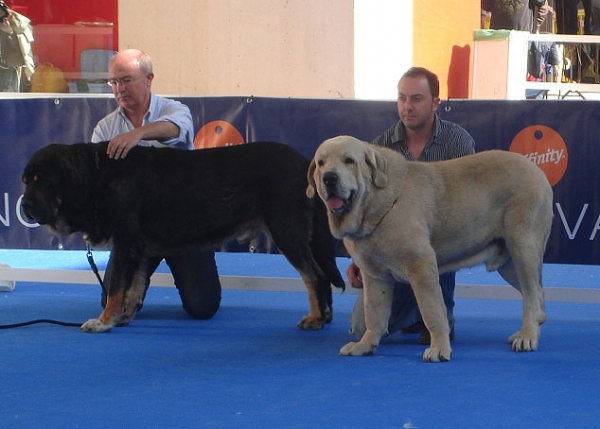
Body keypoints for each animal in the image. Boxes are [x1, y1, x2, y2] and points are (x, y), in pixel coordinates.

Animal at [23, 140, 344, 332]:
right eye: (26, 181)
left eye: (41, 181)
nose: (24, 205)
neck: (98, 176)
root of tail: (305, 162)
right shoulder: (139, 248)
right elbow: (134, 286)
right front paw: (124, 316)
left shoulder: (126, 243)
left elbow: (115, 289)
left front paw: (104, 322)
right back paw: (325, 316)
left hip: (286, 231)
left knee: (314, 276)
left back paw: (316, 318)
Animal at [310, 135, 552, 362]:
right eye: (321, 163)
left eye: (349, 161)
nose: (329, 177)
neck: (375, 204)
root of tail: (537, 170)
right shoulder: (375, 276)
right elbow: (374, 313)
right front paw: (365, 345)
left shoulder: (421, 265)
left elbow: (432, 311)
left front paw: (438, 349)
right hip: (509, 263)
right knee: (537, 294)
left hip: (523, 247)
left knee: (532, 294)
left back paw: (527, 337)